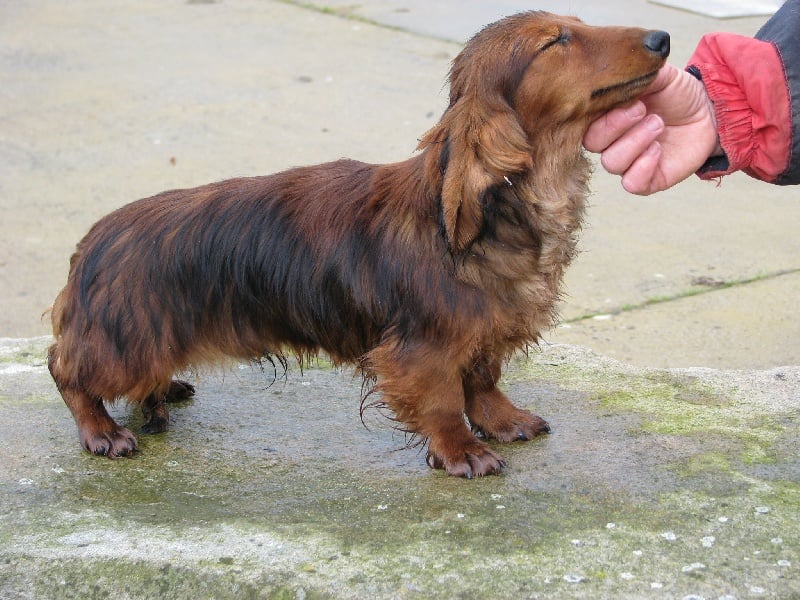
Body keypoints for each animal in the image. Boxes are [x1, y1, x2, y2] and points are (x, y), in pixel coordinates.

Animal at [45, 12, 668, 478]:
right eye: (556, 40)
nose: (662, 38)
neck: (505, 204)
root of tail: (91, 244)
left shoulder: (483, 330)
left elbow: (483, 380)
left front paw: (503, 420)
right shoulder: (422, 345)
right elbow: (444, 400)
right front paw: (461, 451)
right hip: (125, 344)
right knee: (65, 369)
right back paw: (102, 431)